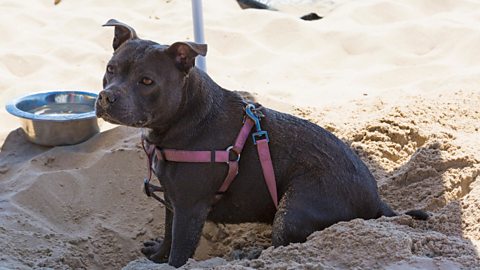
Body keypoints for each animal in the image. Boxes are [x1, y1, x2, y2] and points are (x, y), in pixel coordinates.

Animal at [94, 19, 428, 268]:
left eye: (147, 81)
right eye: (110, 69)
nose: (106, 97)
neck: (185, 115)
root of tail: (376, 201)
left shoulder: (190, 207)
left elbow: (180, 251)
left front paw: (171, 262)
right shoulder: (173, 198)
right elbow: (167, 234)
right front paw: (157, 256)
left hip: (294, 208)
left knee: (284, 246)